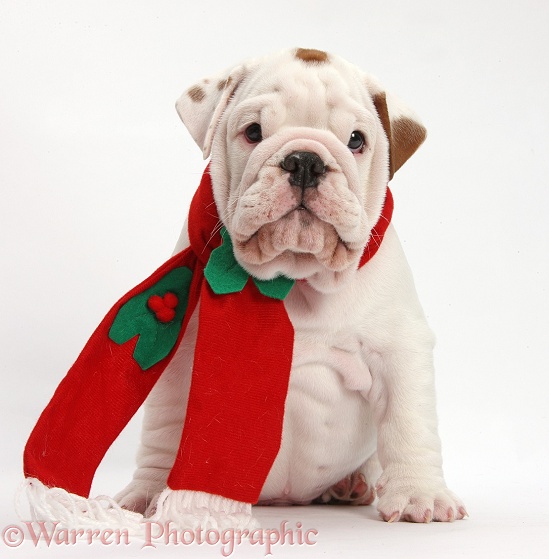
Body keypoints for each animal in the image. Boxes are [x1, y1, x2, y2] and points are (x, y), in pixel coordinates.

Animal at [115, 48, 466, 524]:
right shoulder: (182, 358)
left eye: (356, 140)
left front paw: (419, 494)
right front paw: (153, 491)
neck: (296, 280)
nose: (305, 161)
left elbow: (409, 422)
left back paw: (353, 482)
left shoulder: (400, 348)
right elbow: (166, 430)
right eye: (253, 132)